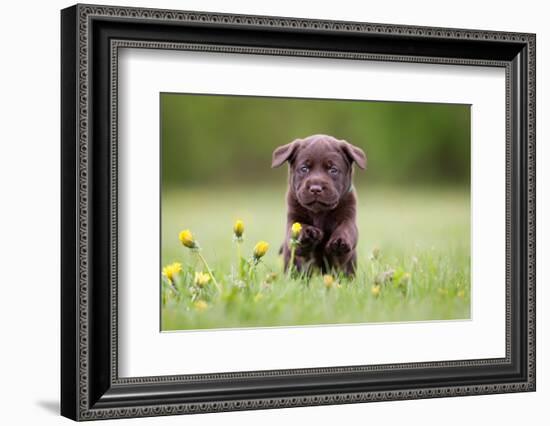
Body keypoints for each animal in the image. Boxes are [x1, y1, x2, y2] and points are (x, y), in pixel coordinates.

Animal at [272, 134, 366, 276]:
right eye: (304, 168)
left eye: (333, 170)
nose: (316, 188)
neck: (319, 212)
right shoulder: (293, 217)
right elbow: (296, 229)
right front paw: (308, 233)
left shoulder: (349, 215)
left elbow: (347, 228)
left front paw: (340, 241)